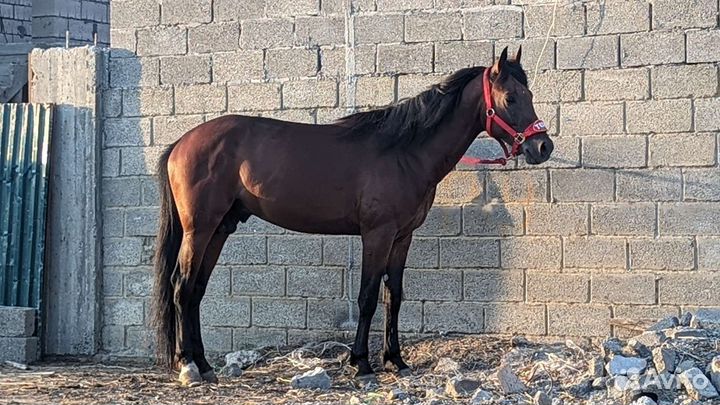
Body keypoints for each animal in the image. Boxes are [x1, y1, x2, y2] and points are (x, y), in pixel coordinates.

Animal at [151, 46, 554, 386]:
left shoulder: (402, 237)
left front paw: (395, 360)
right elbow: (368, 297)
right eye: (511, 98)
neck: (403, 150)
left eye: (530, 95)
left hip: (220, 228)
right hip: (200, 229)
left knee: (196, 290)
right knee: (181, 286)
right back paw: (188, 367)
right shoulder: (377, 234)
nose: (542, 146)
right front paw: (361, 363)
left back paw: (204, 365)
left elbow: (394, 296)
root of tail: (180, 144)